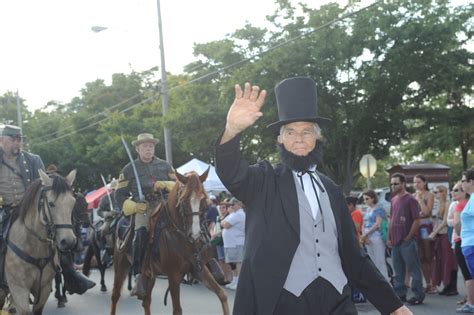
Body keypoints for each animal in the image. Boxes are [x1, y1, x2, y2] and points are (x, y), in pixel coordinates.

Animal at [111, 170, 230, 315]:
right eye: (183, 200)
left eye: (203, 200)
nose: (195, 235)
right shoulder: (173, 276)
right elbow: (177, 310)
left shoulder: (198, 270)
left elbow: (222, 294)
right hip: (121, 265)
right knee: (115, 295)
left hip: (150, 274)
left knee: (146, 301)